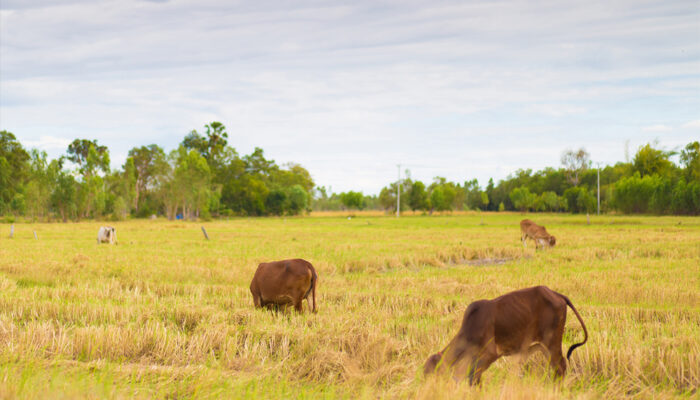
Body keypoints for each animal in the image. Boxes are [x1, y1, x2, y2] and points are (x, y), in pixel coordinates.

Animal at [424, 284, 588, 384]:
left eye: (431, 373)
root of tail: (556, 294)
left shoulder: (491, 354)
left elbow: (473, 377)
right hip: (544, 346)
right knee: (555, 367)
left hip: (552, 341)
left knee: (560, 366)